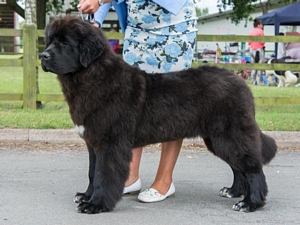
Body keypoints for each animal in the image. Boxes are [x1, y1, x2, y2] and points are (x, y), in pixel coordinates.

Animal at [41, 16, 278, 214]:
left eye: (65, 43)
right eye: (49, 41)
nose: (43, 56)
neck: (93, 77)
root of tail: (241, 83)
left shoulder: (110, 142)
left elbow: (103, 173)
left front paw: (95, 204)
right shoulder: (93, 142)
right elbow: (92, 172)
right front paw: (86, 196)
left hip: (230, 135)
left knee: (252, 168)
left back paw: (250, 203)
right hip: (217, 138)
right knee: (238, 167)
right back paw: (234, 191)